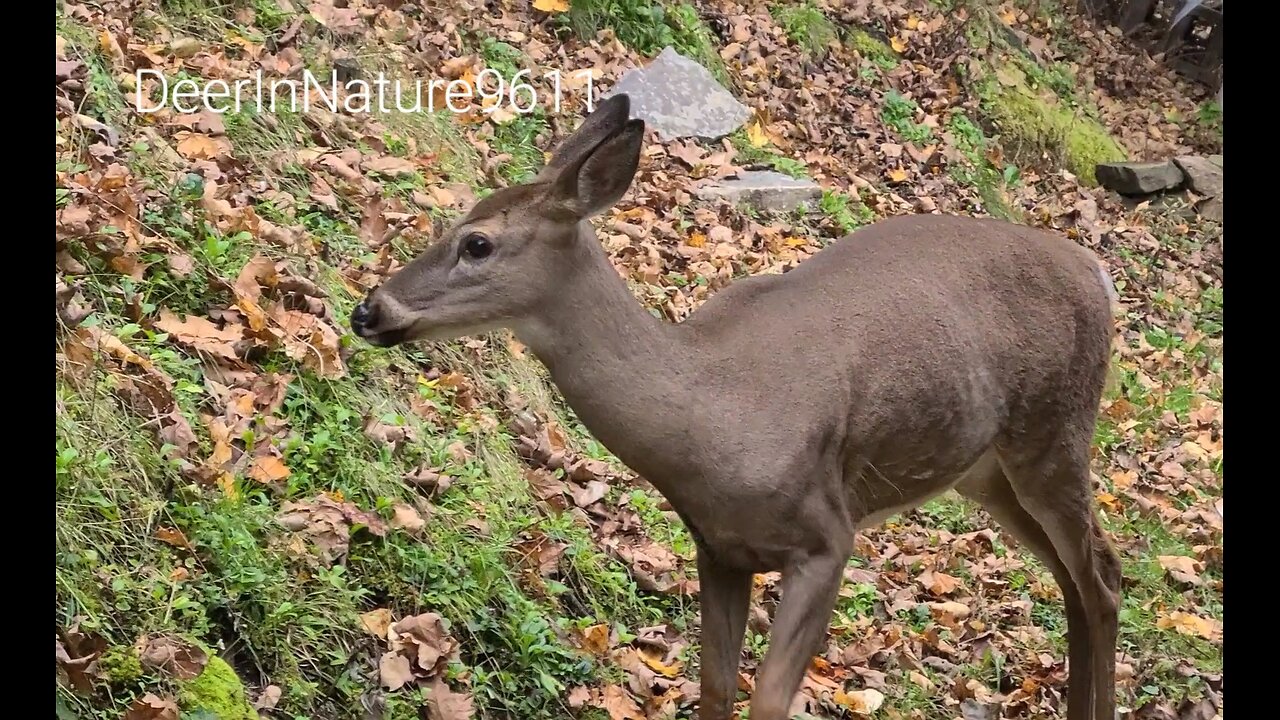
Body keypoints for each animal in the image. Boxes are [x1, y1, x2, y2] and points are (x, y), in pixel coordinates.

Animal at [349, 93, 1123, 720]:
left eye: (478, 243)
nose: (369, 309)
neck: (710, 418)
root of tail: (1099, 273)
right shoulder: (718, 548)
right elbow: (717, 688)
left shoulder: (827, 535)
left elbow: (769, 699)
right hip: (986, 471)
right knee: (1074, 579)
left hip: (1055, 433)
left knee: (1105, 577)